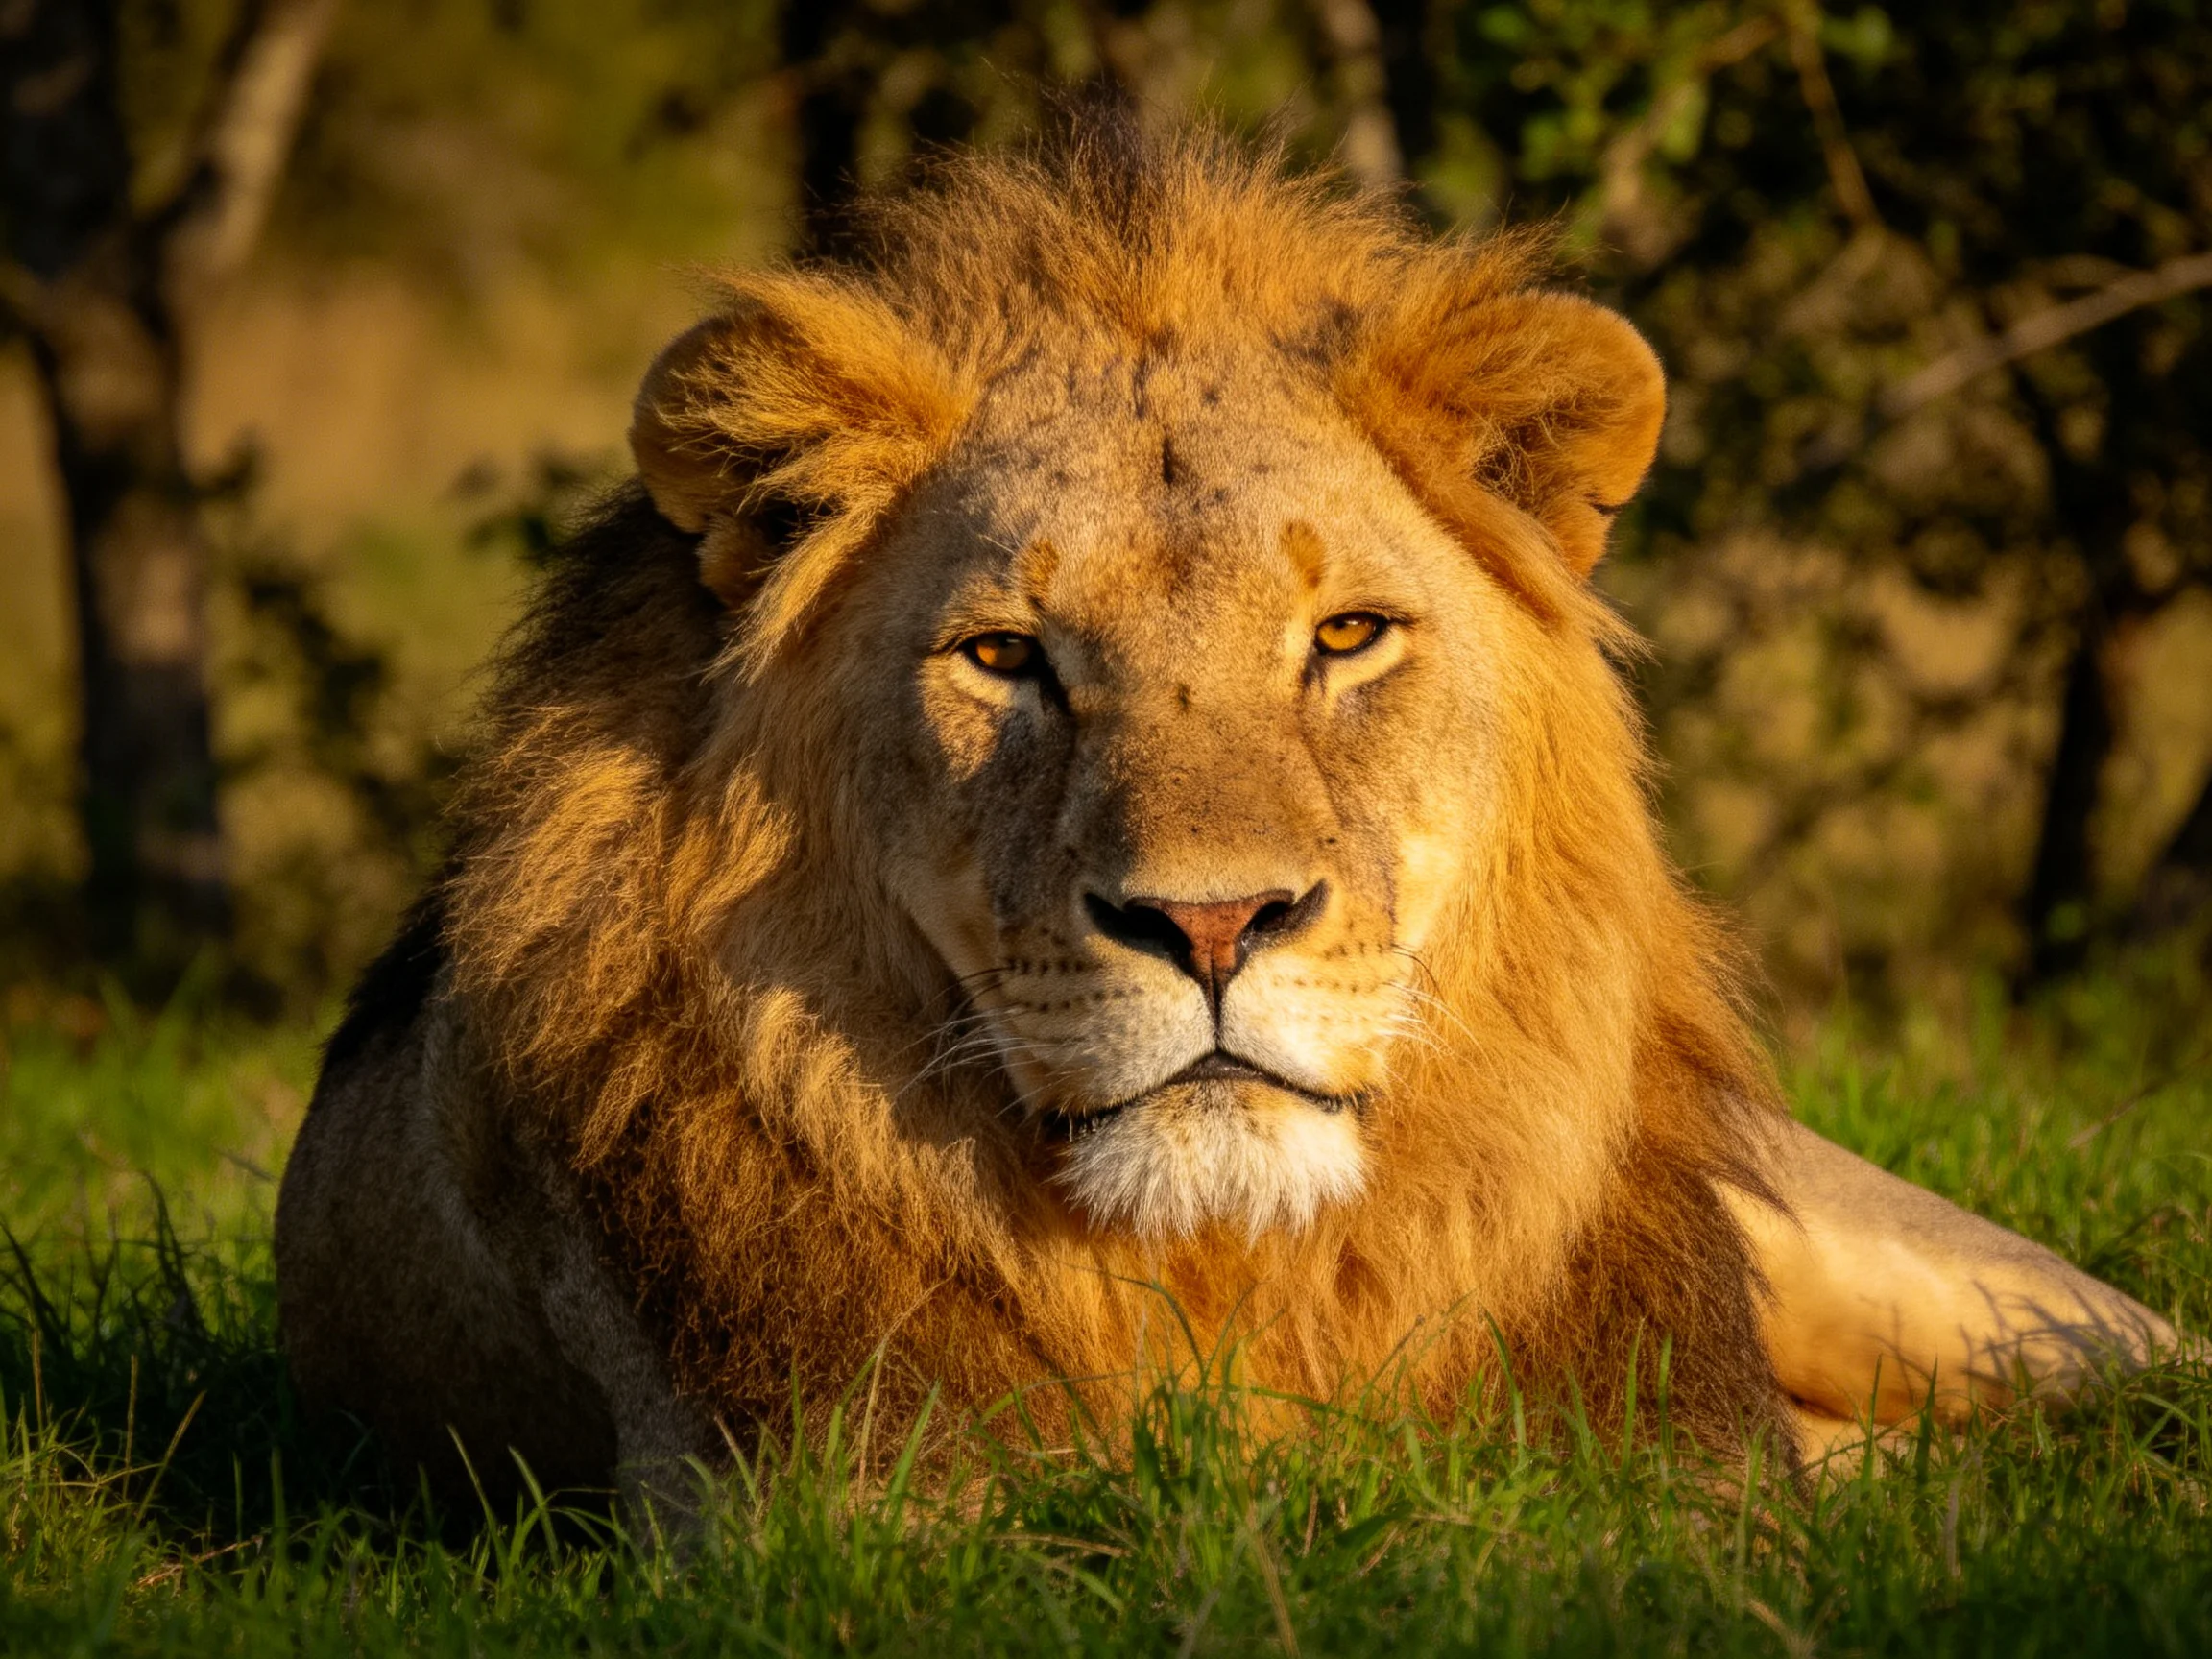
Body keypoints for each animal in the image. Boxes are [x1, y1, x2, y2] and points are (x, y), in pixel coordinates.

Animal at [274, 127, 2183, 1507]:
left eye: (1343, 636)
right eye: (1004, 656)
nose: (1209, 925)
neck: (1225, 1263)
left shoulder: (1680, 1461)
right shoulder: (833, 1509)